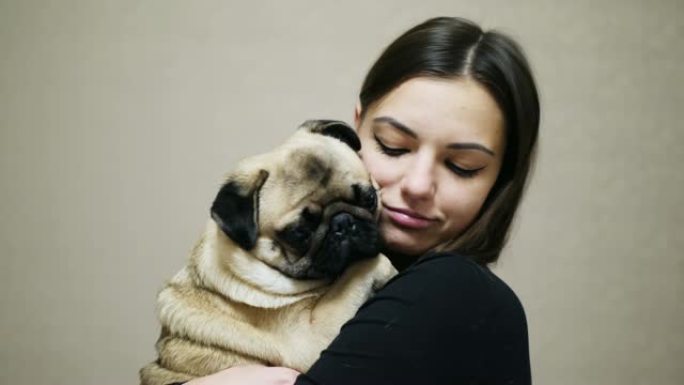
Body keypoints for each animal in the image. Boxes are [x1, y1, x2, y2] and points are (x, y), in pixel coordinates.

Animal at [139, 119, 396, 384]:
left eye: (369, 199)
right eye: (298, 233)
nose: (343, 223)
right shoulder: (311, 338)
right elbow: (365, 265)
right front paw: (386, 268)